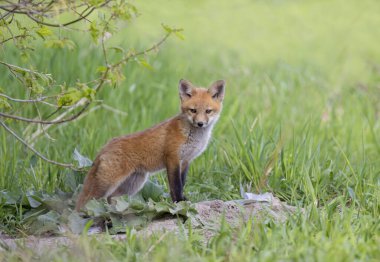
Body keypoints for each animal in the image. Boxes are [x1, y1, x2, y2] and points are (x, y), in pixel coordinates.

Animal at [75, 79, 226, 211]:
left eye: (208, 111)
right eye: (193, 110)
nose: (200, 123)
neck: (191, 136)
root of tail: (105, 146)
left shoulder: (186, 161)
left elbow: (182, 183)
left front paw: (183, 201)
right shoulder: (172, 158)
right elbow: (175, 186)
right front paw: (178, 203)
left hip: (133, 184)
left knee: (112, 198)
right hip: (106, 185)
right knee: (88, 201)